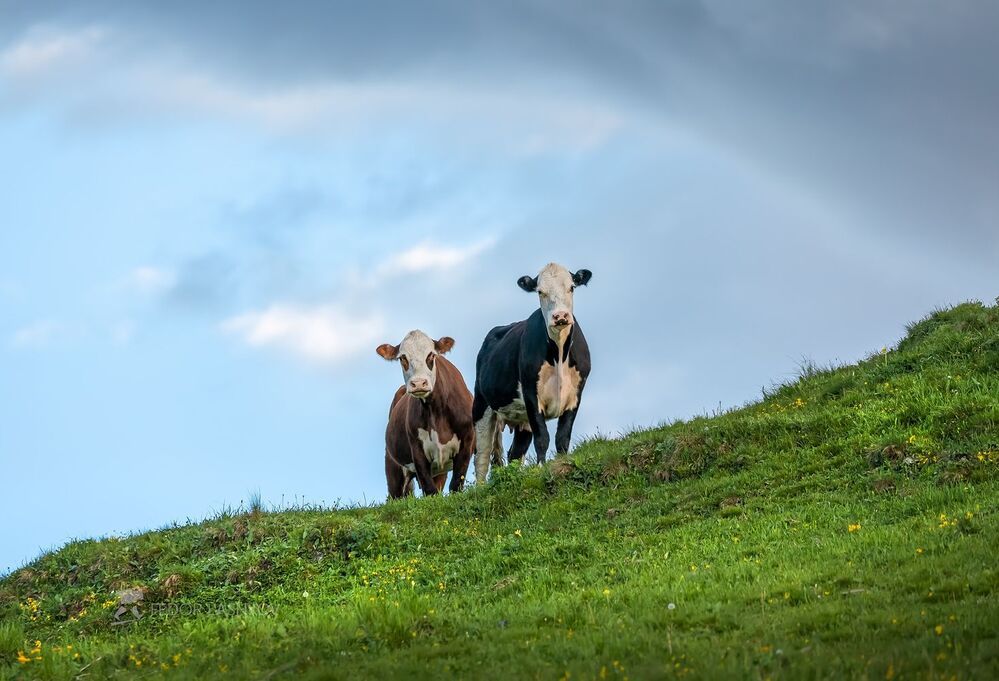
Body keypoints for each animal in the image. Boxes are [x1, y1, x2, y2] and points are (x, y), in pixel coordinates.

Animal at [377, 330, 475, 498]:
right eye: (402, 357)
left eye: (431, 355)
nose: (418, 383)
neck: (435, 410)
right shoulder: (417, 452)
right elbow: (430, 491)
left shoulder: (466, 444)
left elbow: (456, 485)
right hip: (393, 466)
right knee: (396, 495)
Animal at [472, 263, 592, 482]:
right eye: (540, 291)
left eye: (572, 287)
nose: (560, 316)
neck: (559, 353)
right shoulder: (531, 394)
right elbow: (543, 437)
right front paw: (541, 468)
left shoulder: (576, 394)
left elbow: (562, 437)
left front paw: (562, 464)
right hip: (481, 405)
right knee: (482, 456)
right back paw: (480, 487)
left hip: (522, 418)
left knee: (515, 452)